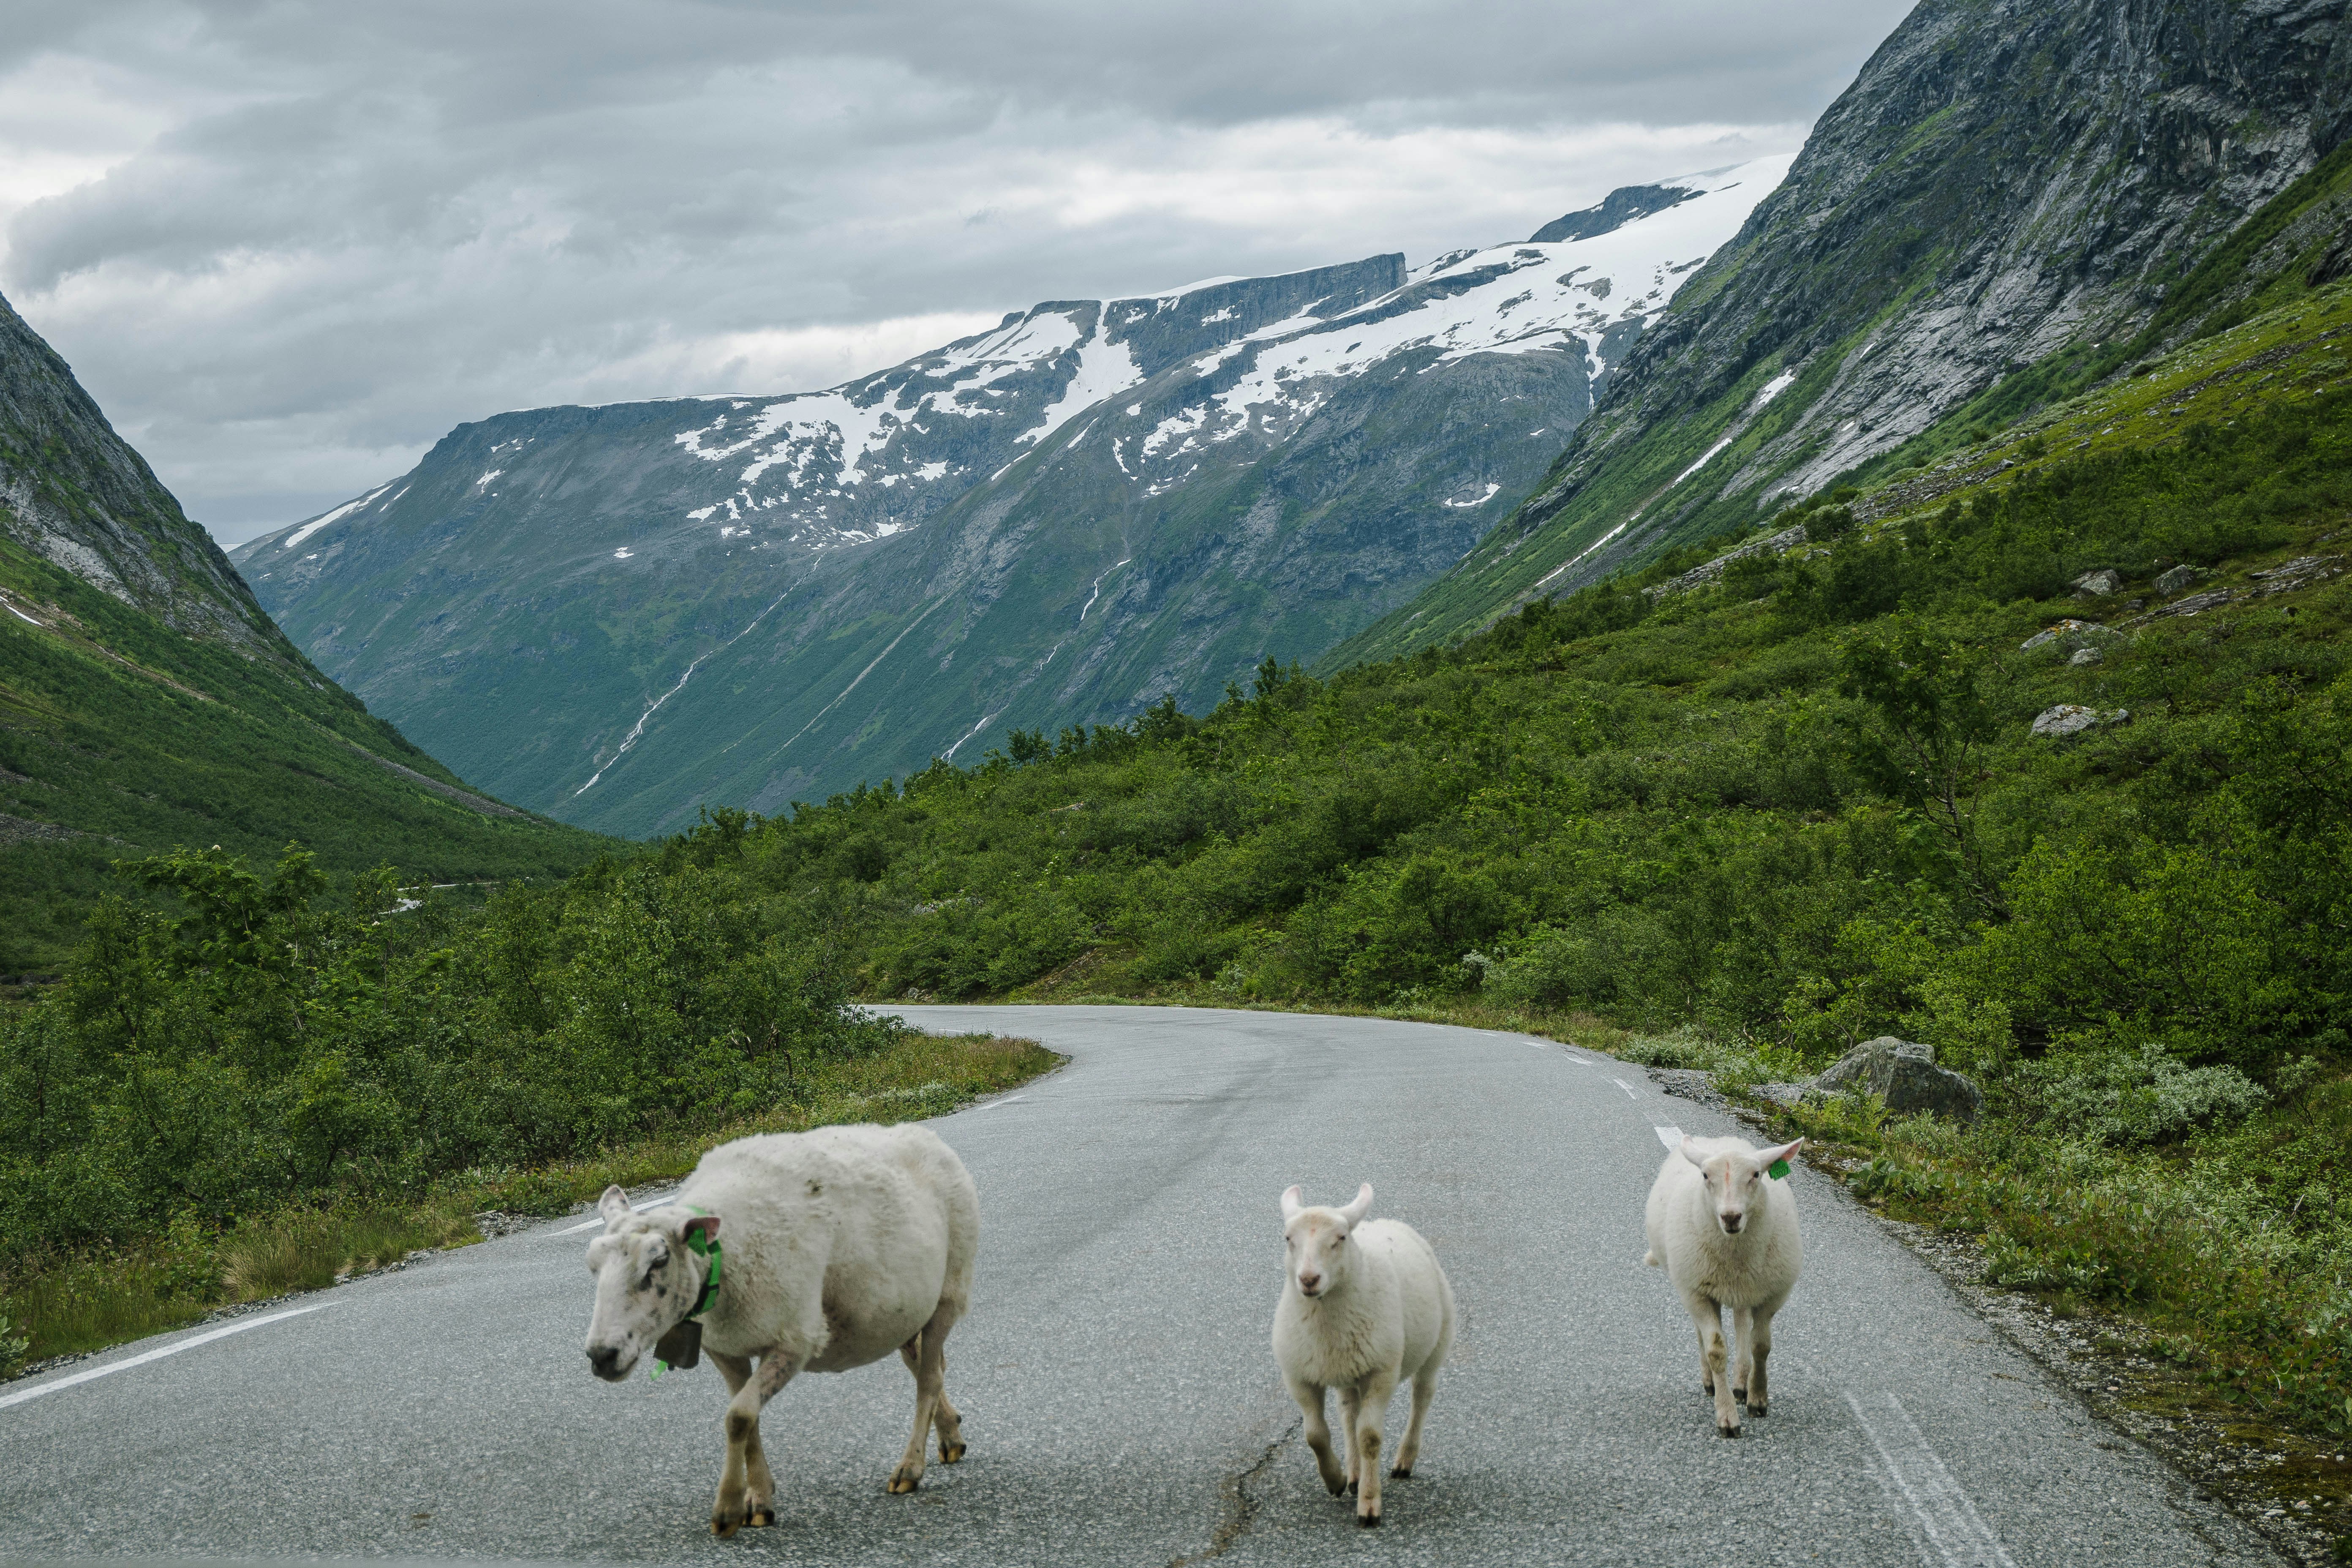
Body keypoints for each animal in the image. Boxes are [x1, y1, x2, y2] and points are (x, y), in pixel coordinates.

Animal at [582, 1122, 979, 1536]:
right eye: (592, 1265)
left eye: (659, 1261)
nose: (601, 1355)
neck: (723, 1258)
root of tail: (923, 1134)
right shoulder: (725, 1347)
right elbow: (748, 1418)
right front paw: (757, 1499)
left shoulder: (794, 1340)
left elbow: (739, 1416)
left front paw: (727, 1509)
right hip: (903, 1310)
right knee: (926, 1365)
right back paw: (950, 1435)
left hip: (950, 1290)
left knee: (929, 1378)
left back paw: (910, 1468)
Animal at [1271, 1183, 1456, 1527]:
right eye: (1288, 1238)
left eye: (1341, 1238)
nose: (1309, 1280)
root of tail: (1382, 1221)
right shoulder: (1299, 1376)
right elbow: (1315, 1435)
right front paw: (1336, 1481)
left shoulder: (1382, 1372)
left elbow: (1369, 1437)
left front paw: (1369, 1506)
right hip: (1349, 1368)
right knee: (1348, 1413)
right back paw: (1354, 1475)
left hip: (1438, 1342)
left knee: (1423, 1395)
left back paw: (1404, 1460)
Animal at [1643, 1134, 1805, 1437]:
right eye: (1706, 1176)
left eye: (1756, 1175)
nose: (1731, 1217)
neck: (1735, 1252)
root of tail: (1718, 1139)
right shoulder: (1697, 1293)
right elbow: (1716, 1350)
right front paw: (1728, 1418)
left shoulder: (1771, 1296)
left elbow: (1761, 1346)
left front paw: (1758, 1400)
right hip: (1694, 1285)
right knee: (1704, 1334)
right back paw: (1711, 1383)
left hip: (1745, 1289)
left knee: (1742, 1325)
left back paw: (1741, 1385)